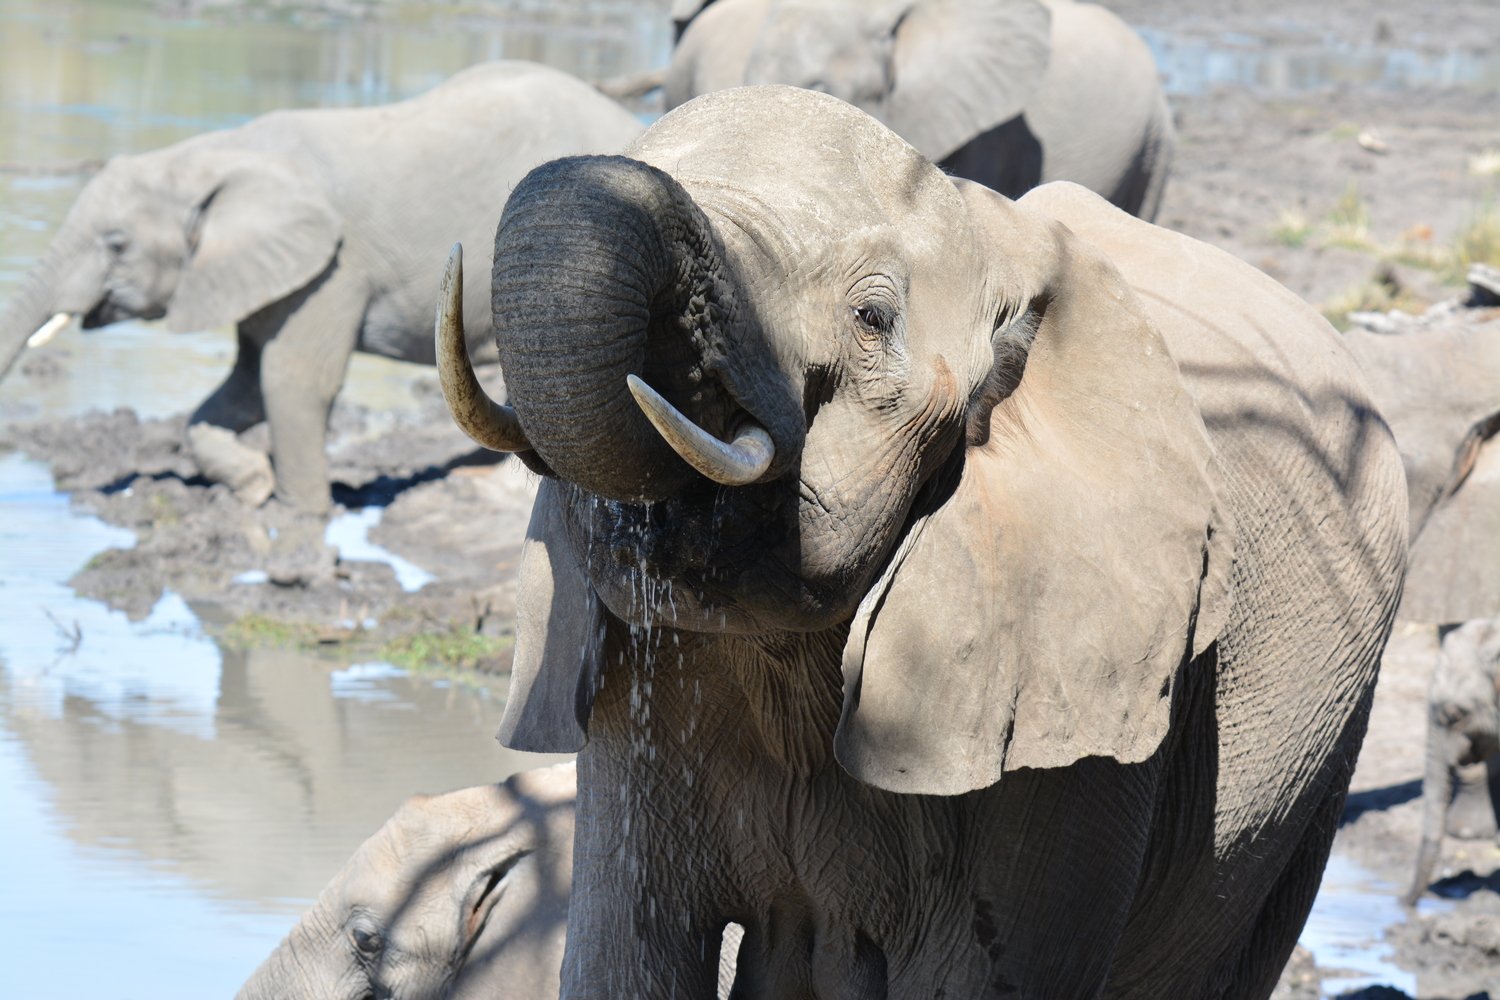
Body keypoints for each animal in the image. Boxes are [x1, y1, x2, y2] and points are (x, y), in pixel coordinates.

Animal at [0, 60, 639, 515]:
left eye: (116, 244)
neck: (217, 153)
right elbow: (246, 385)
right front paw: (251, 488)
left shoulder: (334, 268)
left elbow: (291, 379)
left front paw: (302, 516)